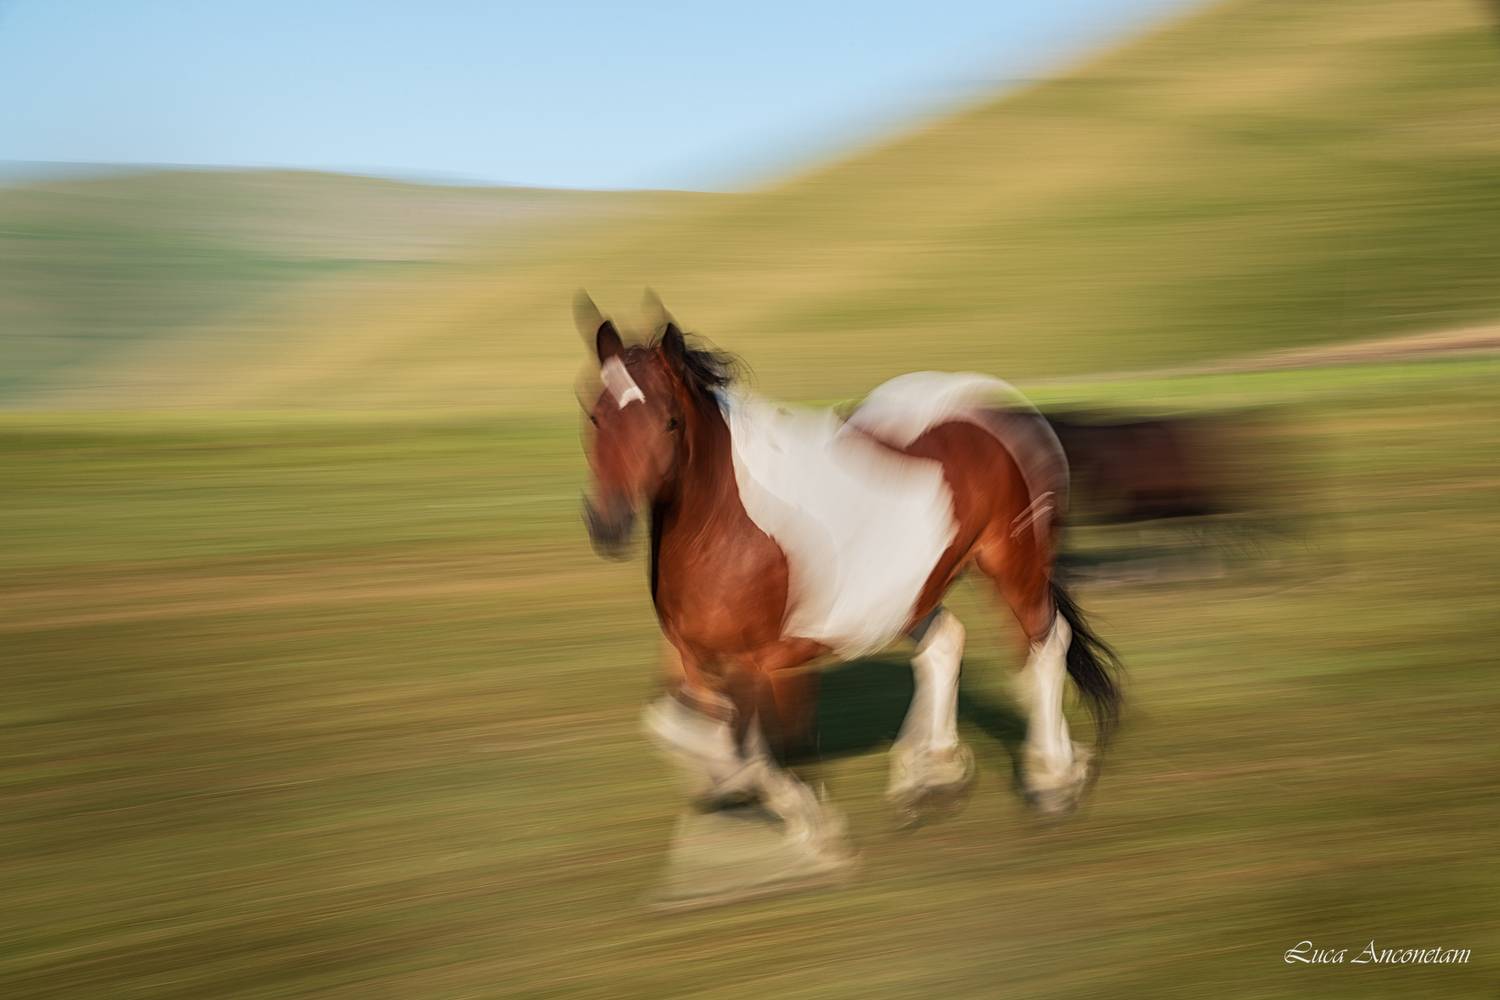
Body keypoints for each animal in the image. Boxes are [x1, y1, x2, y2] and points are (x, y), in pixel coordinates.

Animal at [575, 293, 1123, 863]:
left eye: (670, 421)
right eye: (594, 414)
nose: (608, 525)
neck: (726, 526)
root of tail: (1007, 407)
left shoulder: (766, 665)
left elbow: (758, 749)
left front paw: (817, 833)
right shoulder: (689, 654)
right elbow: (677, 729)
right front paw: (745, 798)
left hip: (1013, 563)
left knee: (1046, 644)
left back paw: (1053, 778)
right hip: (917, 588)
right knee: (945, 643)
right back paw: (931, 776)